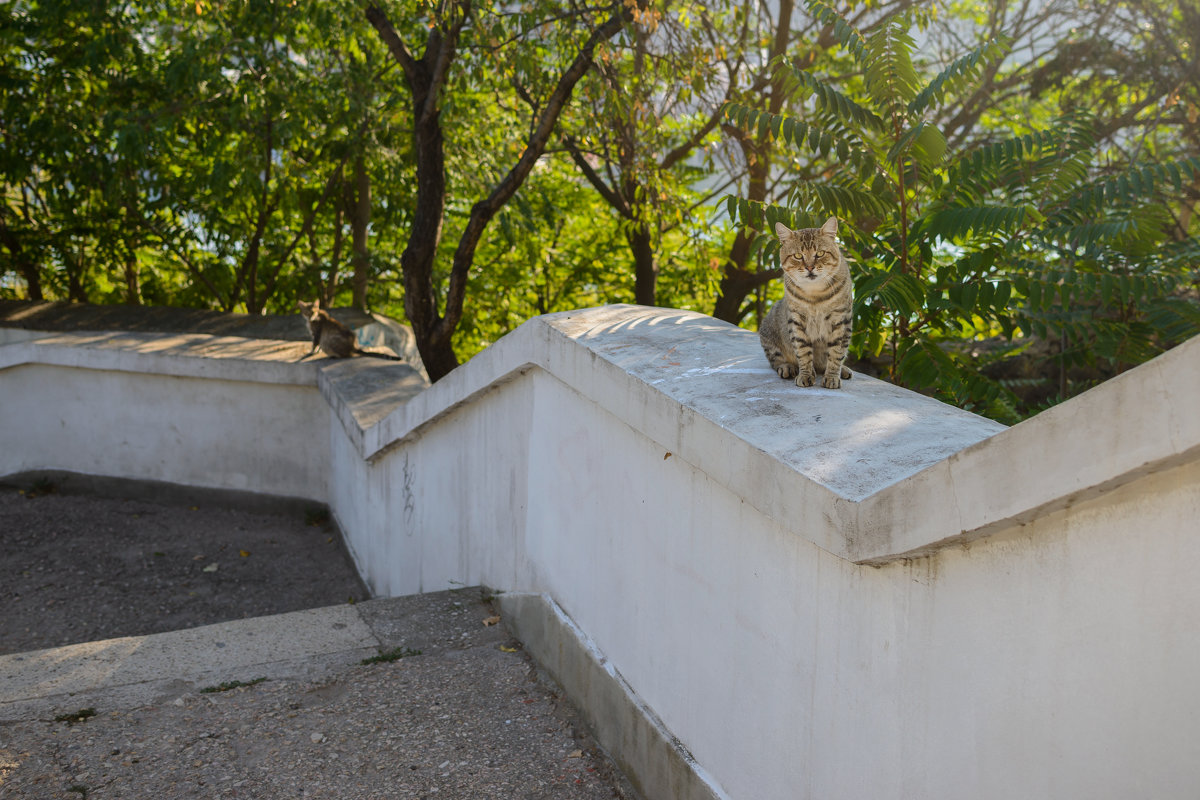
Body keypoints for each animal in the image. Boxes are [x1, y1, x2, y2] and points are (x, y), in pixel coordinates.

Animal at [758, 215, 854, 391]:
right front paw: (805, 375)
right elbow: (803, 352)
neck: (815, 294)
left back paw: (842, 369)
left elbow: (836, 353)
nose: (810, 267)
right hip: (768, 332)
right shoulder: (796, 320)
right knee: (776, 360)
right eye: (798, 256)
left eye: (820, 253)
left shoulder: (841, 320)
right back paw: (787, 367)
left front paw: (832, 376)